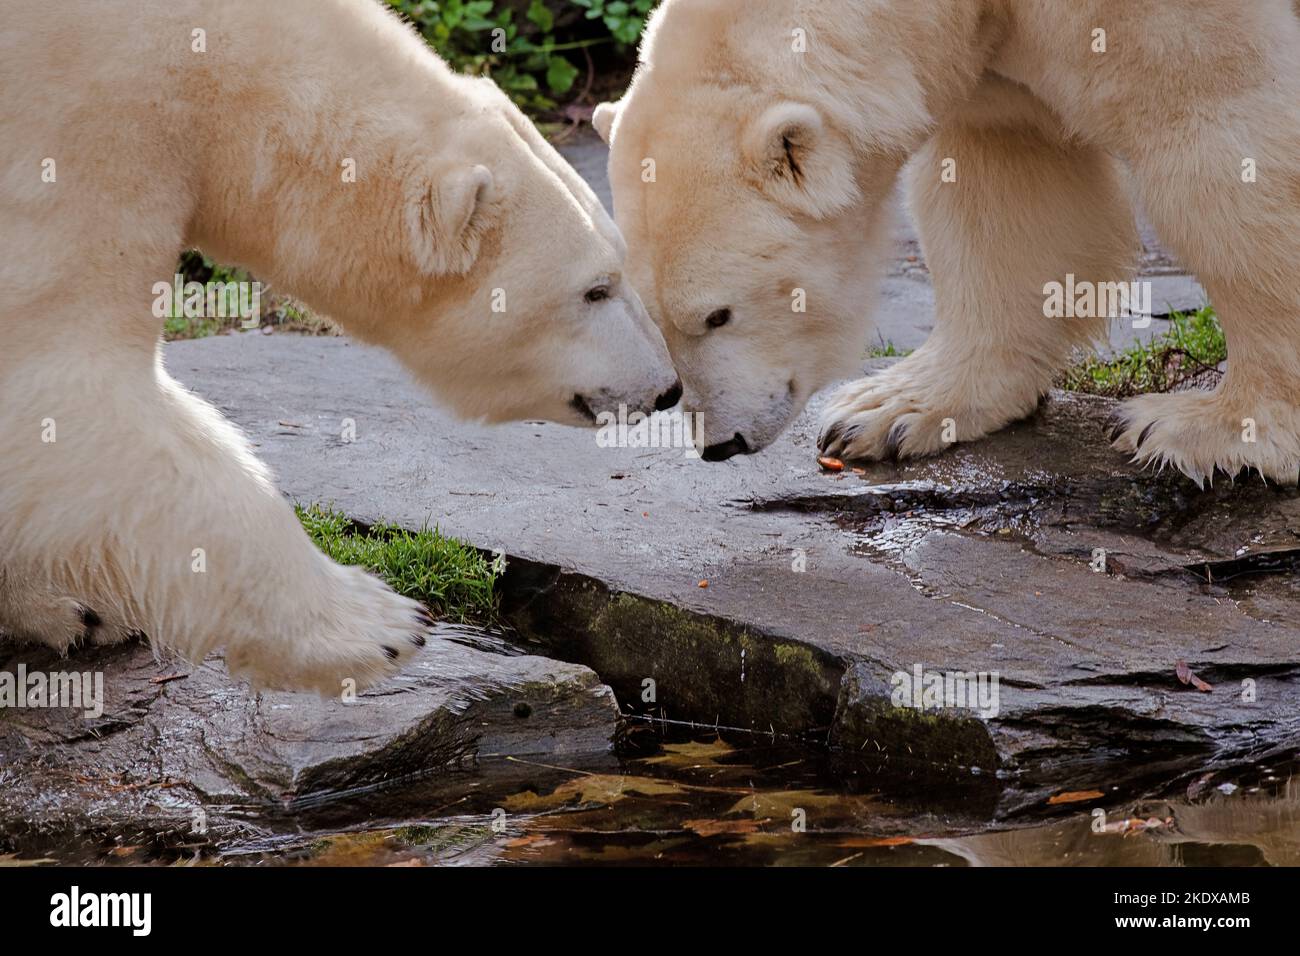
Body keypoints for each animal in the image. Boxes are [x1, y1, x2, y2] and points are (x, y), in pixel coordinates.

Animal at [0, 0, 680, 692]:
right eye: (595, 290)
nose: (667, 388)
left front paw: (71, 606)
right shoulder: (80, 127)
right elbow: (66, 390)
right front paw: (380, 625)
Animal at [594, 0, 1300, 485]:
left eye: (718, 314)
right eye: (658, 322)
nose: (719, 443)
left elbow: (1219, 133)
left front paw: (1216, 431)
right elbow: (1012, 184)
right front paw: (885, 412)